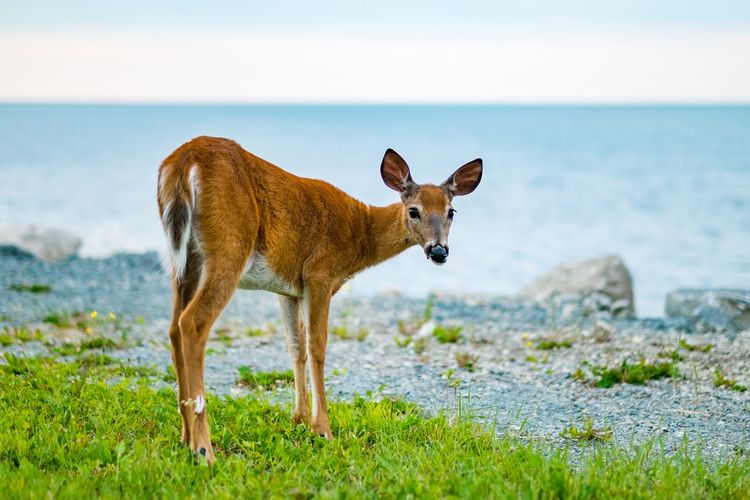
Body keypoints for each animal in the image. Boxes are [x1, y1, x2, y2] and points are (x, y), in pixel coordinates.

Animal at [158, 135, 484, 462]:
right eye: (414, 210)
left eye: (451, 212)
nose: (438, 250)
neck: (359, 235)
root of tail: (184, 161)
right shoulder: (319, 274)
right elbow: (318, 346)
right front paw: (322, 429)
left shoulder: (288, 288)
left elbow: (296, 347)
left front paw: (299, 419)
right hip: (229, 245)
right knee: (192, 322)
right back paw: (203, 449)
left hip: (185, 262)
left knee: (173, 327)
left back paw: (185, 437)